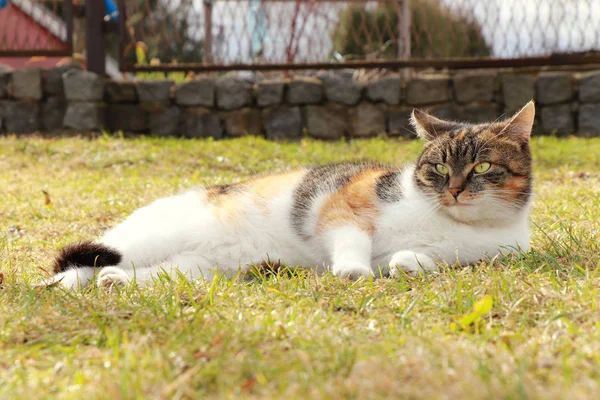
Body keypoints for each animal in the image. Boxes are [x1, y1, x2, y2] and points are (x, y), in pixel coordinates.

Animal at [45, 99, 536, 288]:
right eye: (437, 168)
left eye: (481, 167)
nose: (453, 190)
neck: (446, 222)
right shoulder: (342, 204)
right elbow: (350, 238)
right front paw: (354, 270)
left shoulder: (475, 256)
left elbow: (423, 261)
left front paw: (405, 263)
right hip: (149, 237)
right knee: (80, 261)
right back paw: (58, 286)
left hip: (193, 268)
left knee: (133, 272)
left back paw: (113, 281)